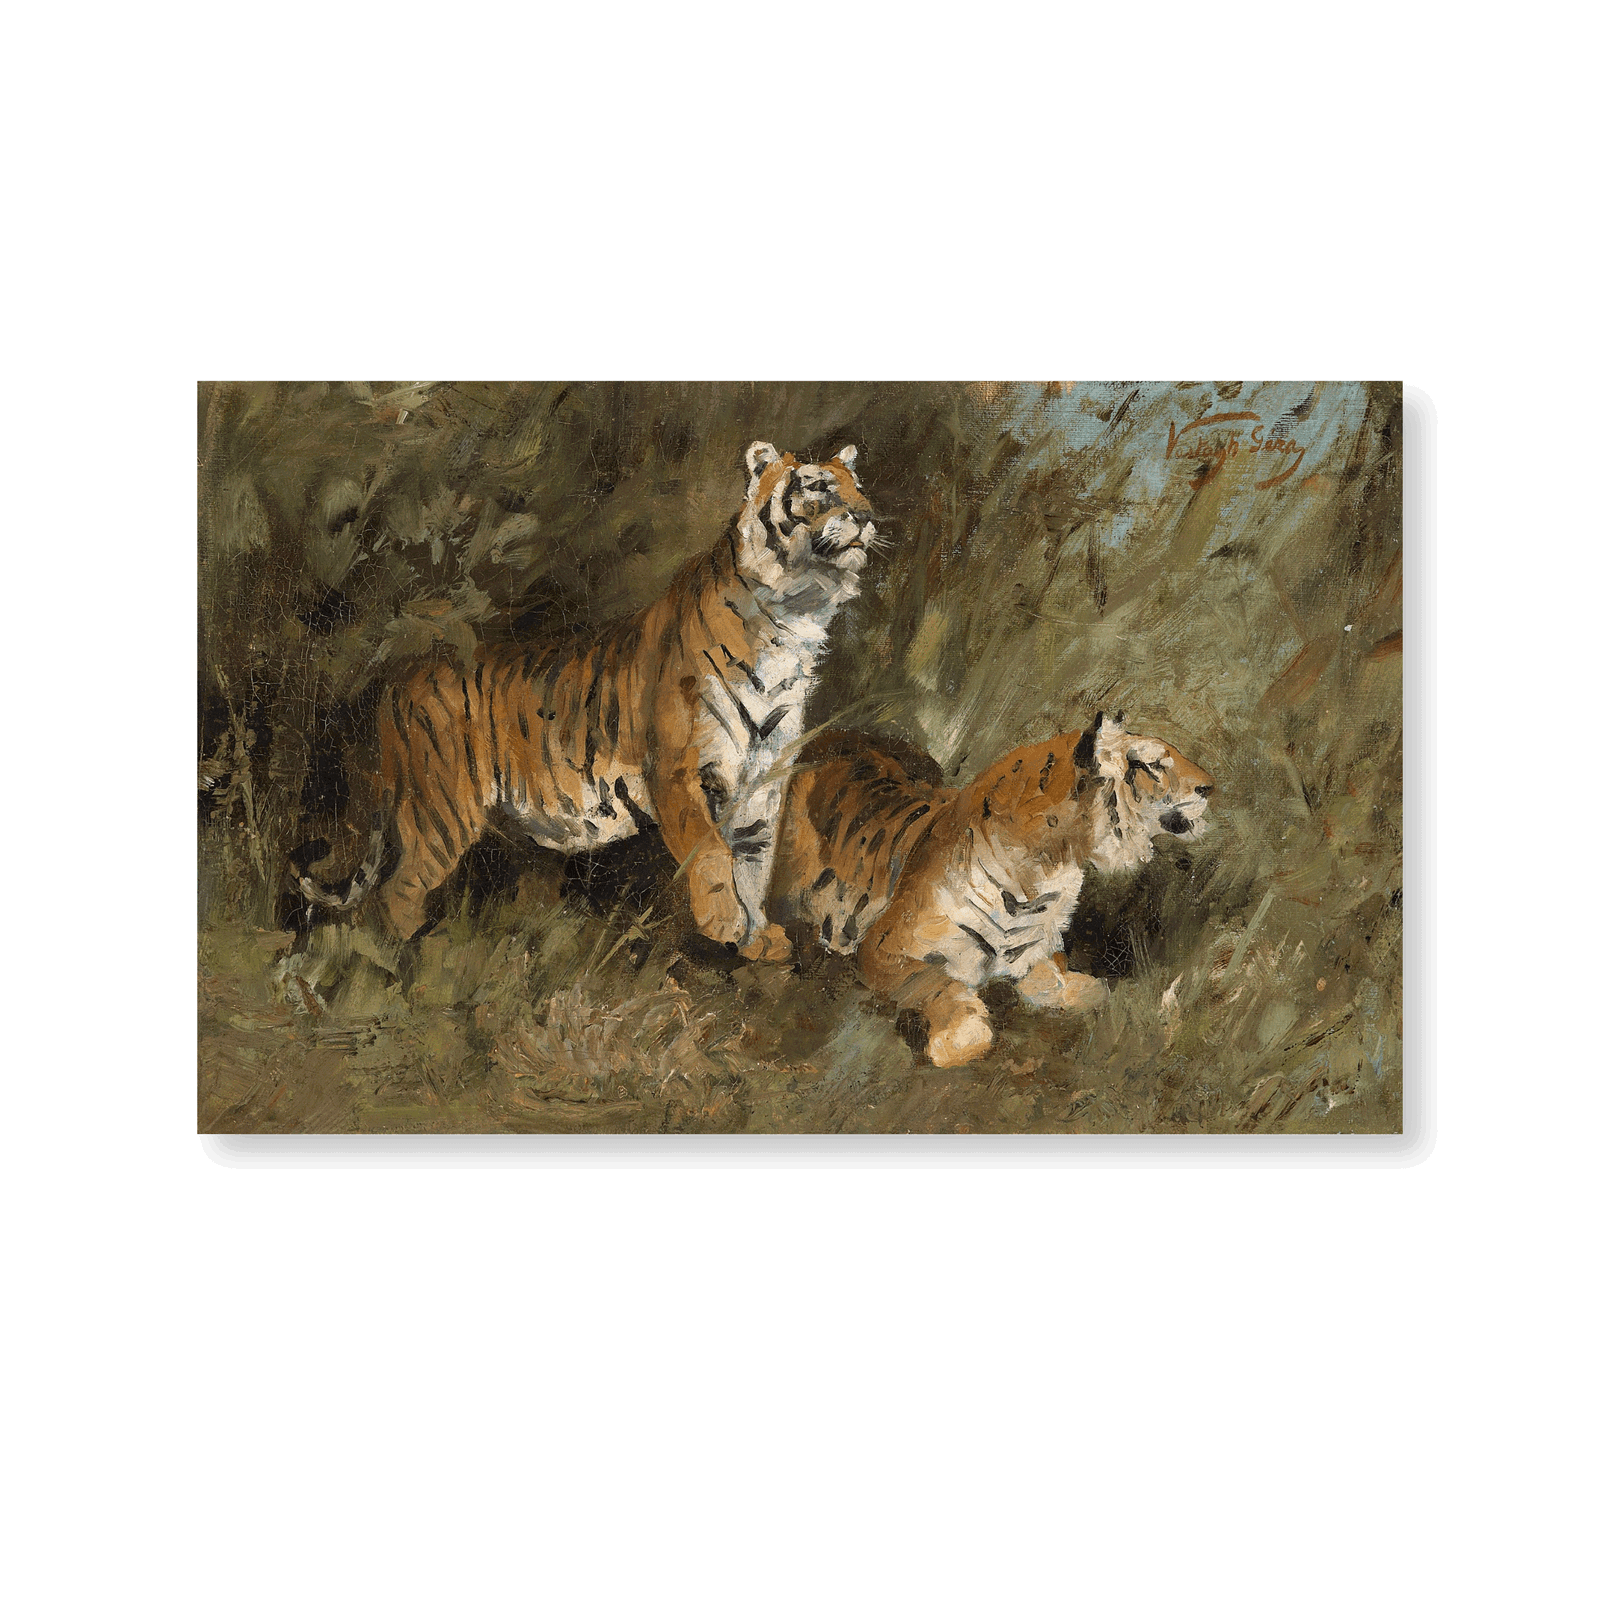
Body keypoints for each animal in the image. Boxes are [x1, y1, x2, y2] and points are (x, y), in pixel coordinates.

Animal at [300, 440, 881, 957]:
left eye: (860, 488)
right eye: (817, 486)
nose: (867, 516)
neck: (796, 614)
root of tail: (399, 681)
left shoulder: (762, 781)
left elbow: (755, 863)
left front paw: (759, 940)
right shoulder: (677, 770)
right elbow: (713, 853)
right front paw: (723, 925)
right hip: (439, 810)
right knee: (395, 894)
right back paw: (407, 960)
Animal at [768, 711, 1215, 1067]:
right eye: (1151, 765)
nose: (1210, 786)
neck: (1047, 868)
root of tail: (842, 731)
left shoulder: (1037, 951)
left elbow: (1070, 984)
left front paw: (1085, 991)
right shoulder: (883, 947)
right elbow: (937, 983)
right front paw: (957, 1038)